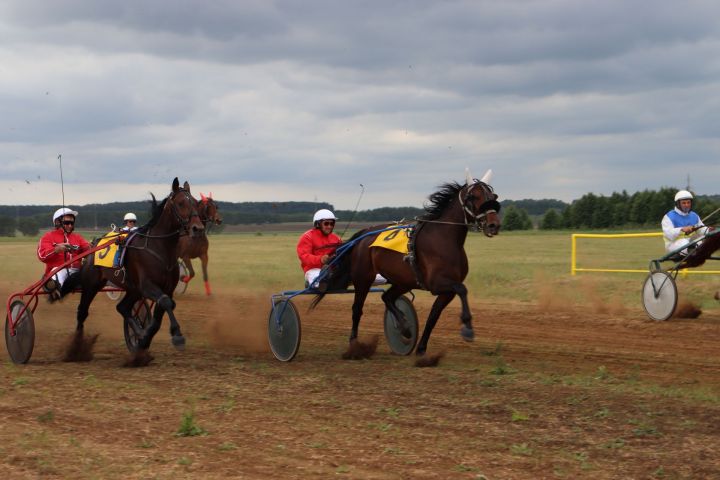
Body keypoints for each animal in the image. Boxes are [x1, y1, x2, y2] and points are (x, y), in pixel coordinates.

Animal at [75, 178, 204, 358]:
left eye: (195, 202)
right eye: (180, 203)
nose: (198, 228)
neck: (159, 247)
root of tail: (93, 245)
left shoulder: (166, 288)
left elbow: (161, 313)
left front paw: (143, 339)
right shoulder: (147, 285)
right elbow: (166, 302)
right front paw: (177, 336)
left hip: (133, 289)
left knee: (122, 307)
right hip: (91, 284)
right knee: (82, 312)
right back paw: (76, 347)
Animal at [312, 172, 504, 356]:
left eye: (493, 196)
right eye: (473, 196)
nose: (493, 224)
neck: (444, 239)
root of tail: (362, 236)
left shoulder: (446, 290)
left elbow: (434, 315)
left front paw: (421, 348)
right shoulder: (436, 284)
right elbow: (462, 289)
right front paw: (468, 329)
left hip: (402, 281)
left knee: (387, 297)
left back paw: (404, 327)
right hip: (363, 279)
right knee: (357, 309)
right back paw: (355, 345)